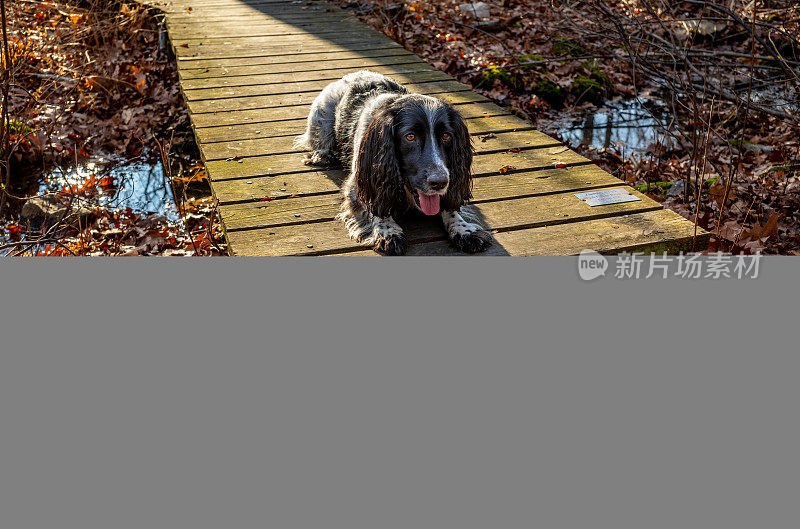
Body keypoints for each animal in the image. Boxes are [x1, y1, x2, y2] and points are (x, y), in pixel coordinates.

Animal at [296, 70, 494, 256]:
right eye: (410, 137)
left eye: (446, 136)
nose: (440, 182)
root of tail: (354, 74)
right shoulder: (359, 185)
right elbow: (374, 206)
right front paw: (388, 232)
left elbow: (451, 208)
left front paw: (465, 230)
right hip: (321, 119)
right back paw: (322, 155)